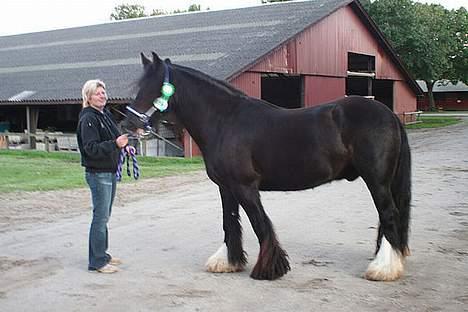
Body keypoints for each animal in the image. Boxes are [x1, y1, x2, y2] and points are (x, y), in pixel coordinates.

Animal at [122, 52, 412, 282]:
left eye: (155, 88)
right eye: (139, 87)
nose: (127, 125)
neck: (225, 120)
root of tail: (389, 114)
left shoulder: (246, 186)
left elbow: (260, 224)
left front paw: (270, 269)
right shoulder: (226, 188)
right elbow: (230, 223)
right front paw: (228, 262)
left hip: (377, 181)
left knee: (389, 215)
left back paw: (383, 268)